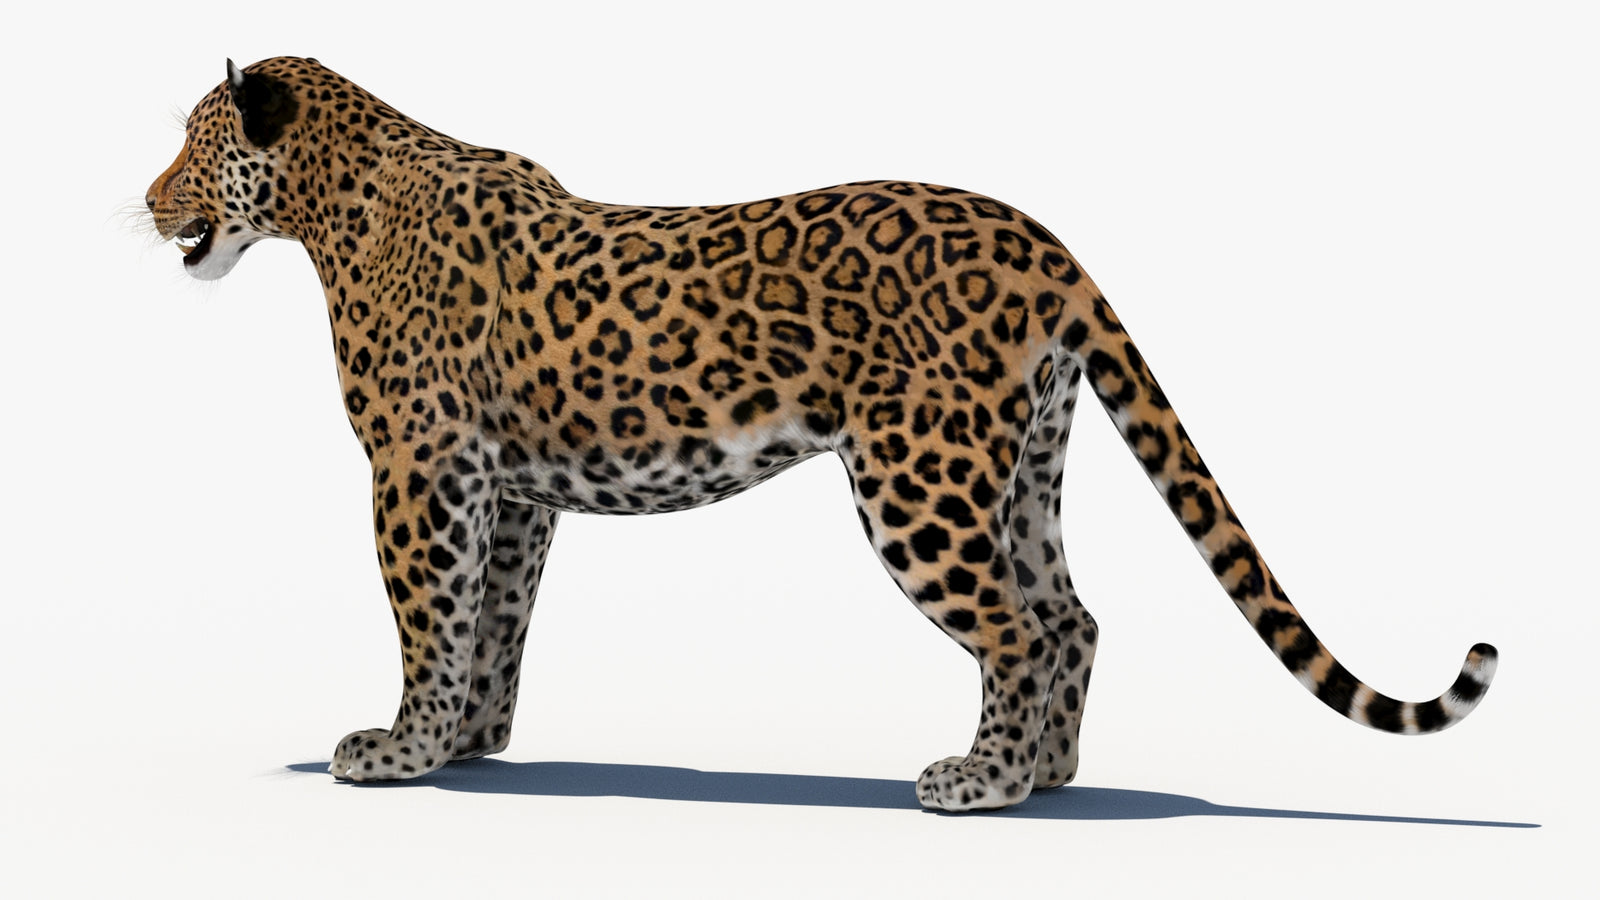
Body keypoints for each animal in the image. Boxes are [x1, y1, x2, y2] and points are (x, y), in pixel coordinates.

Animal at [145, 57, 1497, 811]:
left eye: (194, 143)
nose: (148, 202)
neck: (332, 203)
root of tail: (1044, 241)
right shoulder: (510, 486)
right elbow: (496, 621)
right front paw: (473, 745)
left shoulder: (417, 472)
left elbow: (431, 616)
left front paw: (401, 751)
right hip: (1022, 464)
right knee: (1069, 614)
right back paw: (1051, 773)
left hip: (917, 481)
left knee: (1014, 626)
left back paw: (984, 785)